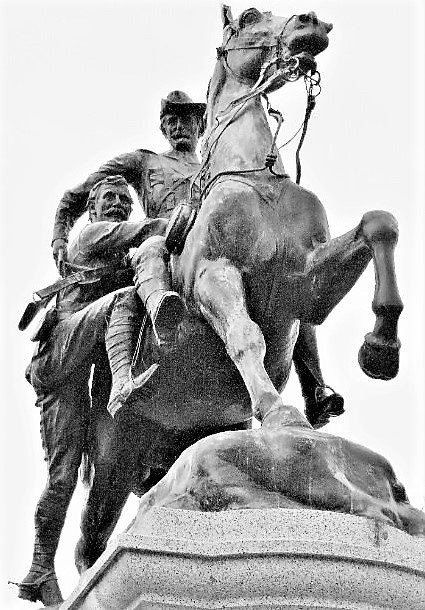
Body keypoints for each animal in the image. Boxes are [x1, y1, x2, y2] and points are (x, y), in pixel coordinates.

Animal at [74, 4, 402, 580]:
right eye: (249, 16)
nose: (311, 21)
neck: (256, 177)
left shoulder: (307, 285)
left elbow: (379, 222)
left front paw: (381, 348)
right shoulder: (216, 275)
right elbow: (247, 336)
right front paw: (283, 415)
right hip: (113, 456)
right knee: (88, 546)